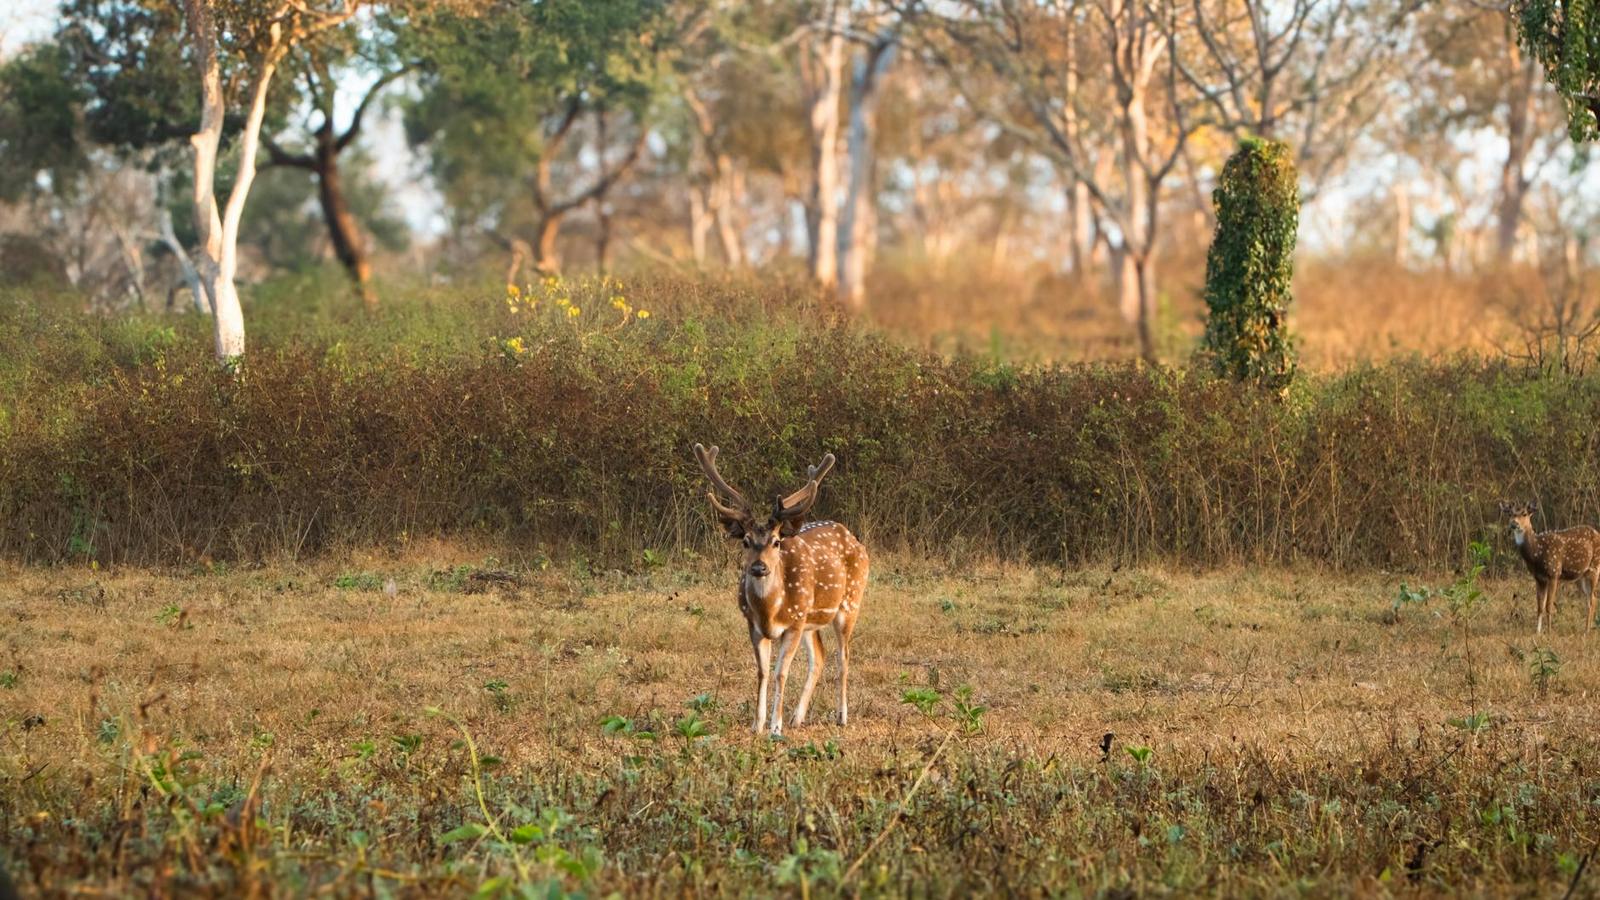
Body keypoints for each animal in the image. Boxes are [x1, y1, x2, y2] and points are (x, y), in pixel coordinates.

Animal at [694, 443, 869, 736]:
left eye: (776, 542)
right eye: (745, 541)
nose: (759, 567)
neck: (769, 612)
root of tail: (853, 538)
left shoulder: (793, 624)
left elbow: (780, 672)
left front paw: (775, 727)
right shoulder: (753, 625)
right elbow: (762, 672)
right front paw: (757, 724)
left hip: (849, 603)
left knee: (843, 656)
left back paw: (841, 716)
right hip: (811, 620)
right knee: (819, 657)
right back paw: (797, 718)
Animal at [1499, 500, 1600, 634]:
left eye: (1525, 513)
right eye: (1510, 513)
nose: (1514, 523)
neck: (1537, 553)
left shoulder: (1554, 573)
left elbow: (1548, 606)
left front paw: (1549, 631)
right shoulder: (1539, 578)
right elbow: (1540, 606)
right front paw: (1537, 632)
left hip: (1595, 568)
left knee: (1592, 599)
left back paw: (1586, 631)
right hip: (1579, 576)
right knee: (1591, 598)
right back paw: (1586, 629)